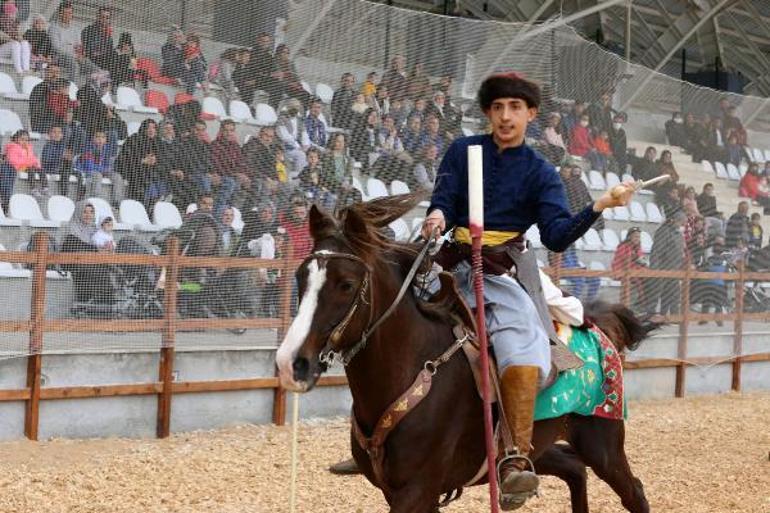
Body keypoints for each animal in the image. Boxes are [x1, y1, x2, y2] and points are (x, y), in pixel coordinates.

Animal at [274, 194, 656, 510]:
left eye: (346, 284)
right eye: (300, 278)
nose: (291, 362)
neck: (415, 367)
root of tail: (598, 326)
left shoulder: (417, 491)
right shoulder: (401, 492)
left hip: (602, 444)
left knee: (633, 491)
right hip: (539, 447)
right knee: (574, 469)